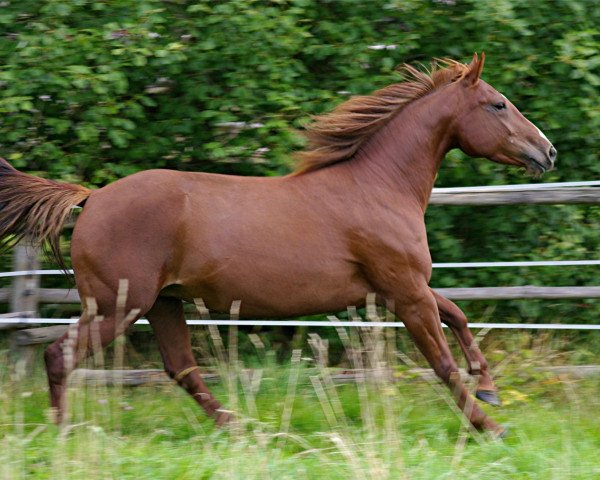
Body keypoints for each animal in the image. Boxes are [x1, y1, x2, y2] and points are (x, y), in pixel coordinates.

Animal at [0, 54, 556, 436]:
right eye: (498, 104)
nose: (547, 152)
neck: (378, 186)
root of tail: (91, 197)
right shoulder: (404, 291)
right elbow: (441, 361)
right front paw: (489, 426)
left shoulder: (399, 287)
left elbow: (458, 314)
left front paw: (489, 387)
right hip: (119, 304)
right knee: (60, 356)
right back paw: (63, 434)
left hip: (162, 303)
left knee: (182, 368)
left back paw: (242, 428)